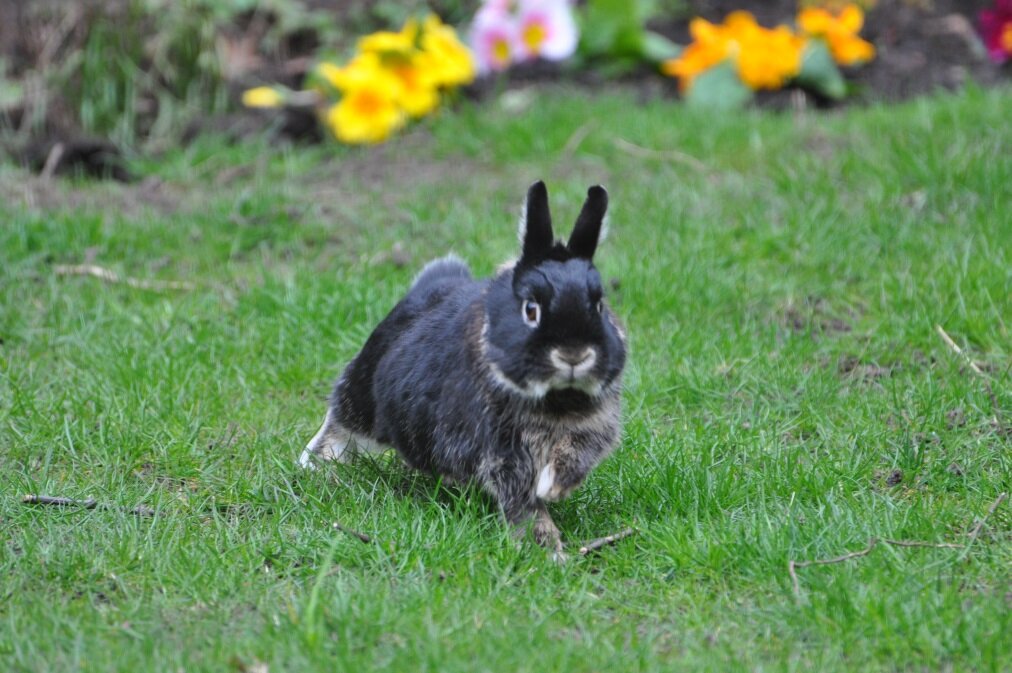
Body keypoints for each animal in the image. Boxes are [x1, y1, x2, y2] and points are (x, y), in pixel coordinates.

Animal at [299, 180, 623, 550]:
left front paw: (553, 489)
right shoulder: (500, 452)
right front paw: (544, 547)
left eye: (599, 305)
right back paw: (314, 463)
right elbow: (522, 500)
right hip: (365, 393)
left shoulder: (592, 431)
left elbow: (573, 459)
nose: (574, 355)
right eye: (531, 309)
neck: (555, 398)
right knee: (340, 417)